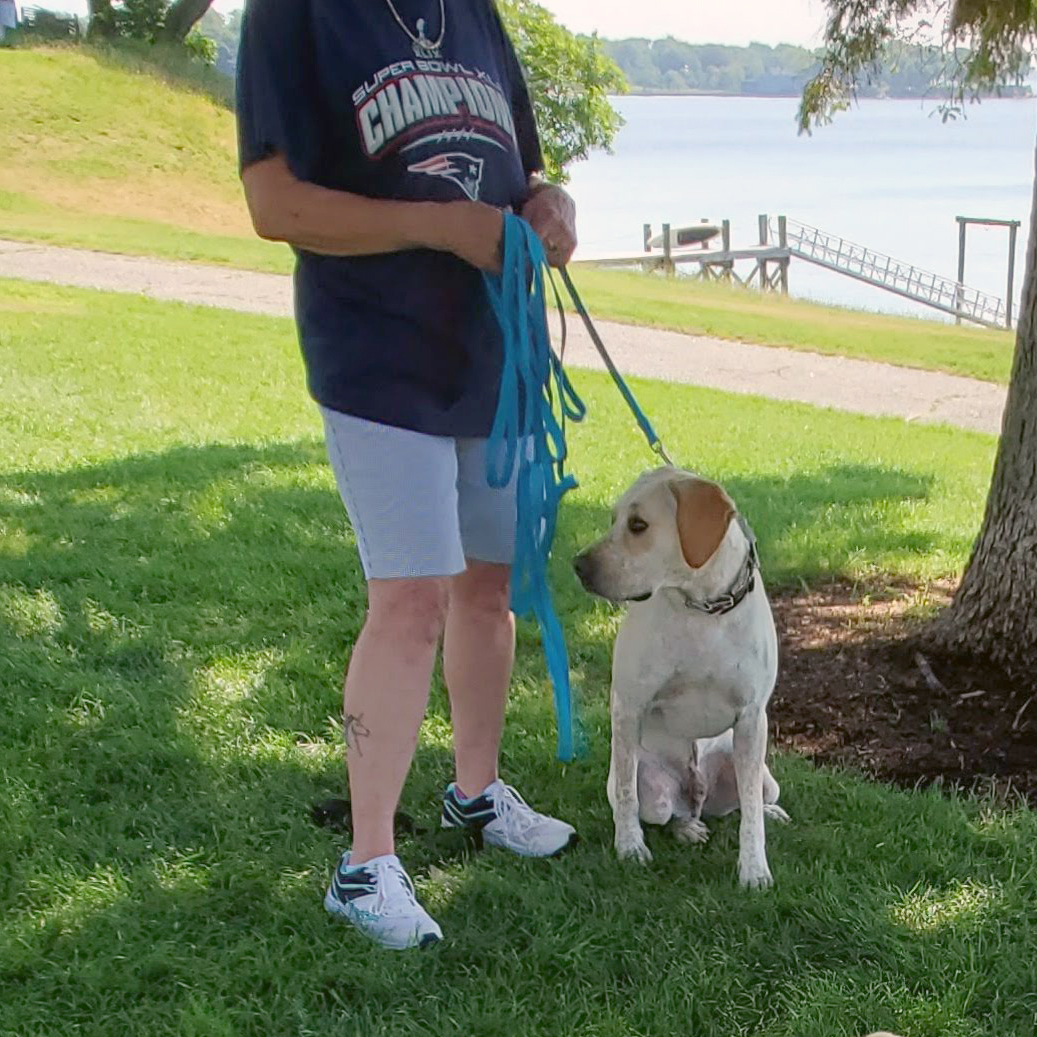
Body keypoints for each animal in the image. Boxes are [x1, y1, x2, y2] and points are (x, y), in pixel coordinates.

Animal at [576, 466, 783, 887]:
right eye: (613, 520)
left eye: (638, 525)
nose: (578, 566)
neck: (702, 608)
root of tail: (697, 794)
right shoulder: (627, 706)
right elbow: (627, 793)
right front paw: (629, 847)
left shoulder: (752, 718)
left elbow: (751, 812)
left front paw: (754, 867)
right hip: (655, 792)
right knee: (668, 813)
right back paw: (686, 828)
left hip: (764, 777)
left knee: (747, 802)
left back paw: (765, 813)